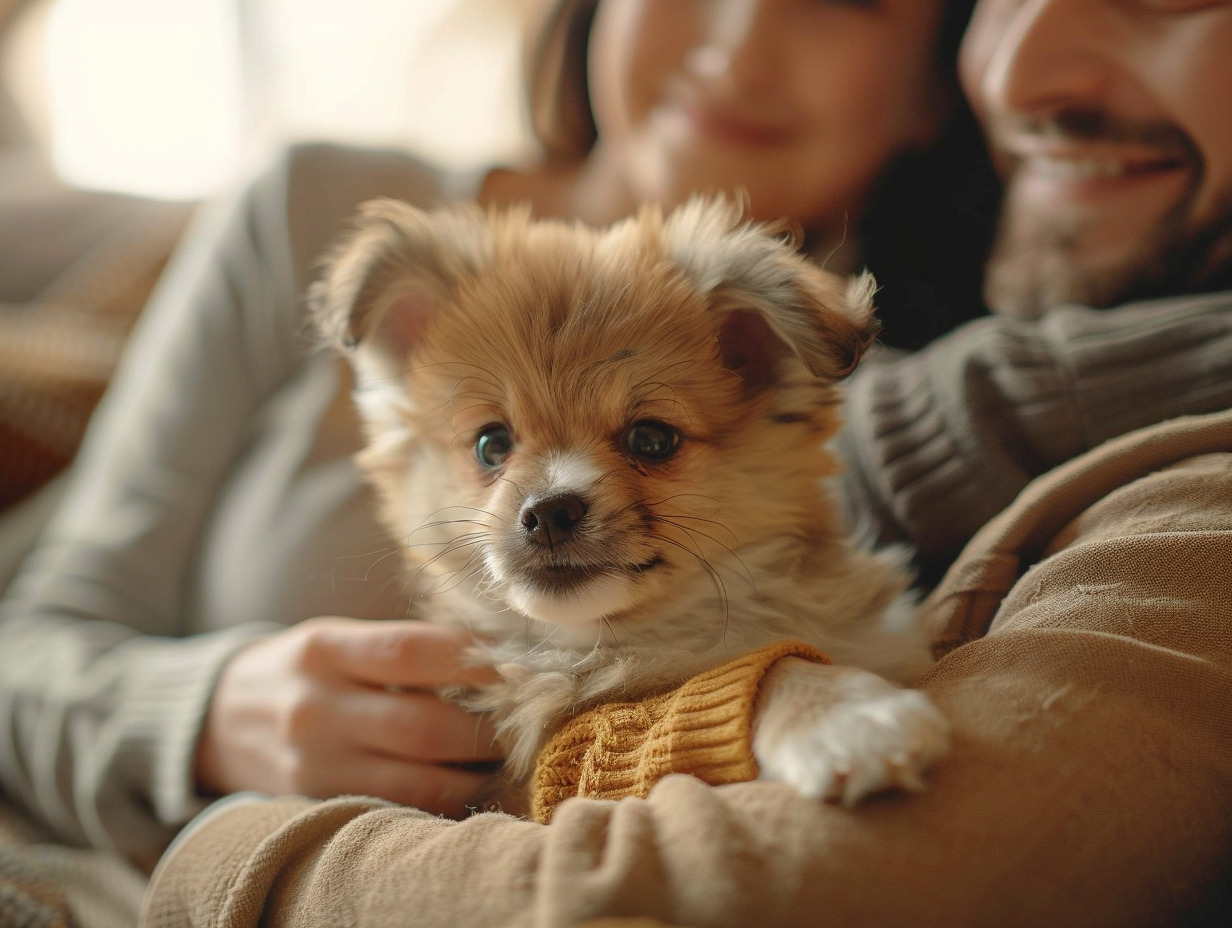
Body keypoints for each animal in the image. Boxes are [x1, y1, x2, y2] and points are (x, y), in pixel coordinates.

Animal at [312, 197, 946, 808]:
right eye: (491, 445)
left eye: (652, 439)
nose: (548, 513)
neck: (633, 641)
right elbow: (763, 670)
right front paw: (844, 718)